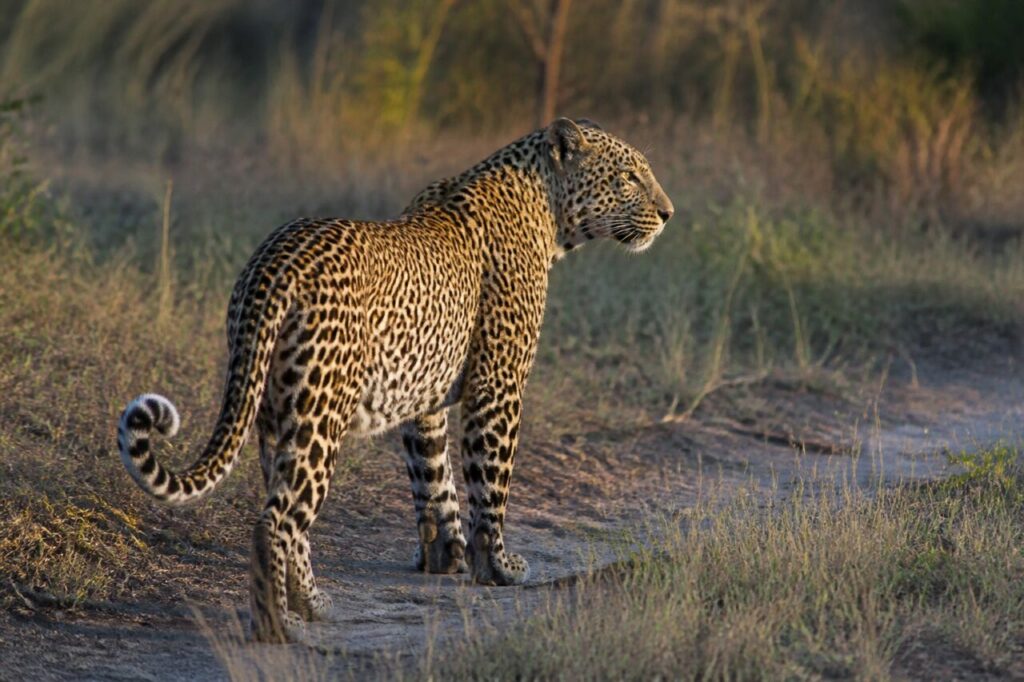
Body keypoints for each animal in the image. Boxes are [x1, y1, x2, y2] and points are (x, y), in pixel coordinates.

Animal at [117, 117, 674, 643]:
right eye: (629, 176)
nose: (668, 213)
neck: (546, 210)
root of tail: (275, 259)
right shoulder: (498, 385)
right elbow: (491, 481)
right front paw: (498, 567)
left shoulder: (425, 401)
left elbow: (435, 477)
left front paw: (445, 556)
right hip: (320, 414)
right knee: (274, 522)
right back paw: (281, 627)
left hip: (273, 411)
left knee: (289, 516)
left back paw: (312, 603)